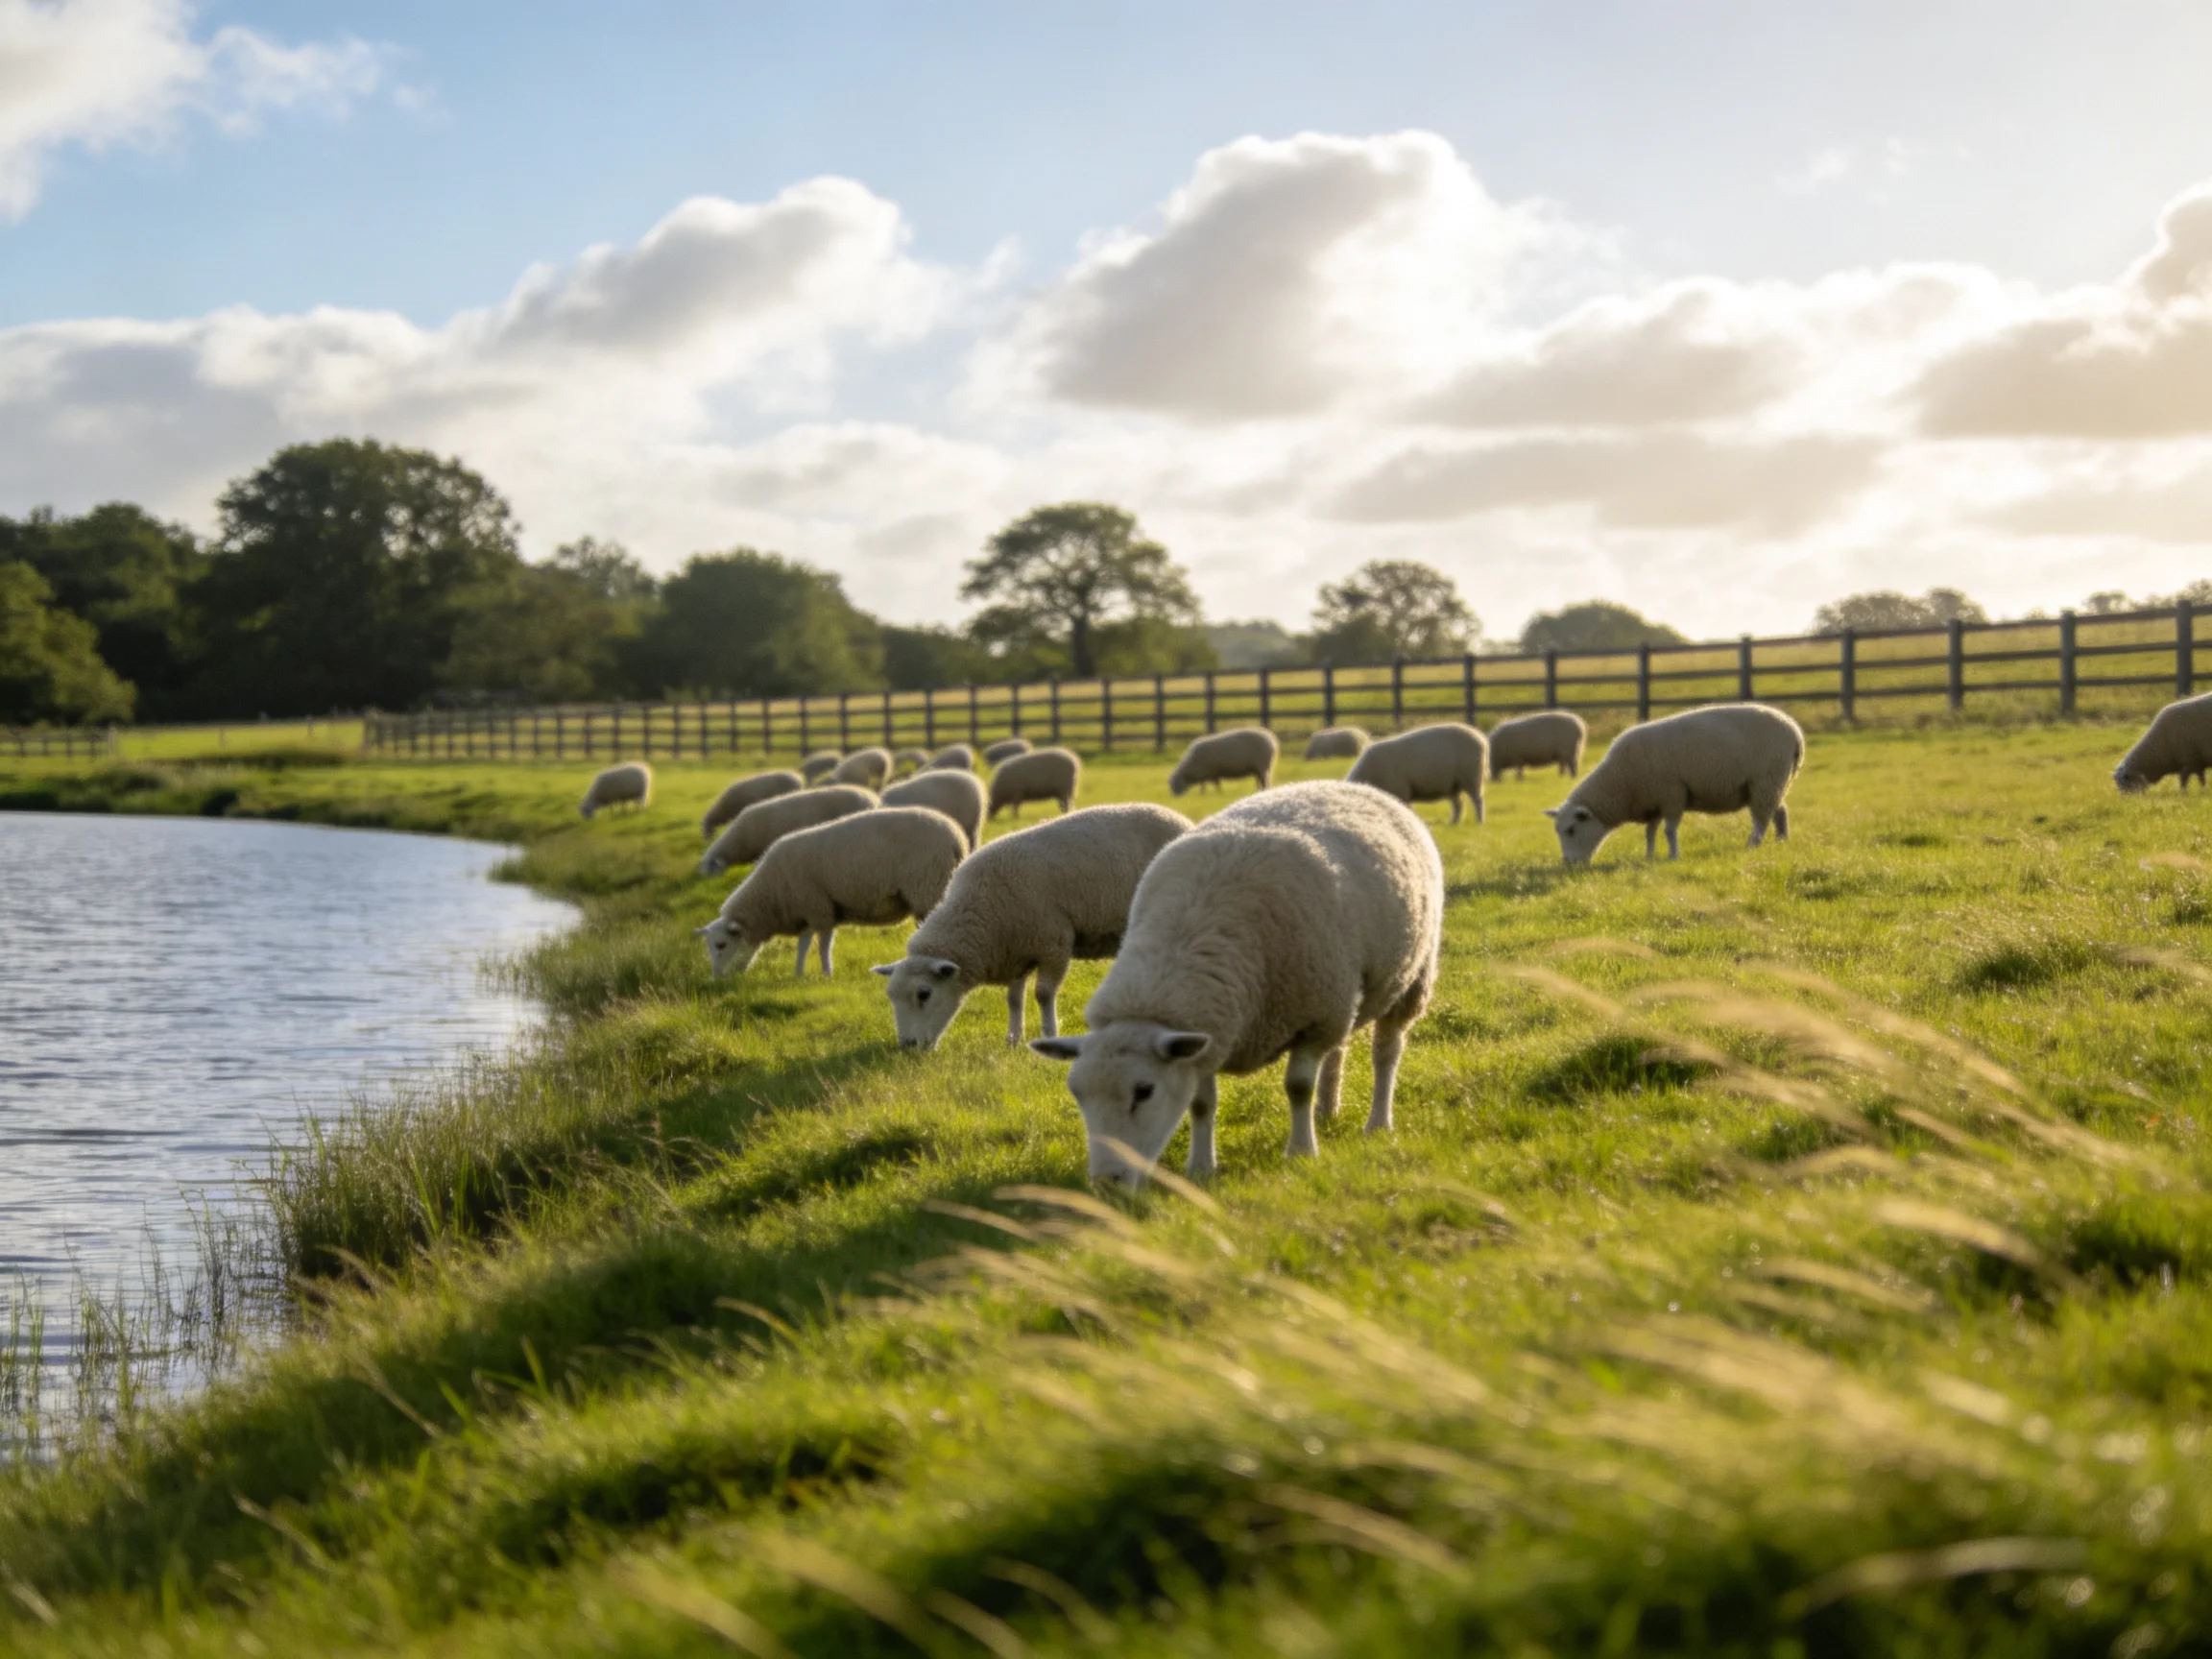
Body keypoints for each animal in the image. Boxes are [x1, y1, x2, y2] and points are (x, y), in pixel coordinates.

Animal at [697, 807, 966, 980]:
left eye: (721, 945)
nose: (717, 979)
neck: (770, 897)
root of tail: (956, 837)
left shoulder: (819, 908)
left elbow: (823, 945)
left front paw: (827, 973)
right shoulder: (806, 911)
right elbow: (804, 944)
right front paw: (798, 974)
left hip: (927, 887)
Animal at [875, 803, 1193, 1051]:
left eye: (923, 994)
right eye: (890, 996)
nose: (908, 1047)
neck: (984, 912)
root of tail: (1181, 819)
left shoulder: (1053, 943)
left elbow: (1043, 994)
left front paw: (1049, 1034)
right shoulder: (1017, 950)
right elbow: (1014, 999)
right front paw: (1013, 1039)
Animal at [1033, 781, 1442, 1187]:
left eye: (1144, 1091)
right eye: (1077, 1093)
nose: (1106, 1182)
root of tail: (1354, 785)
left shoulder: (1311, 1018)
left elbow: (1298, 1088)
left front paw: (1301, 1152)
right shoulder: (1208, 1034)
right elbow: (1201, 1105)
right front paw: (1200, 1167)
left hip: (1406, 979)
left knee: (1386, 1053)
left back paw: (1377, 1122)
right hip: (1344, 995)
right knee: (1338, 1050)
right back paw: (1326, 1110)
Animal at [1346, 724, 1489, 825]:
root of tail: (1482, 739)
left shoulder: (1401, 791)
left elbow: (1406, 809)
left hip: (1472, 776)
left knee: (1478, 800)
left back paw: (1479, 822)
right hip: (1454, 783)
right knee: (1459, 804)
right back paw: (1454, 822)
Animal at [1546, 702, 1803, 864]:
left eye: (1571, 829)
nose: (1568, 863)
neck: (1620, 783)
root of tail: (1794, 731)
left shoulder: (1672, 795)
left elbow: (1669, 831)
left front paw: (1673, 856)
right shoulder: (1653, 801)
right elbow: (1650, 832)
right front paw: (1649, 856)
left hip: (1766, 779)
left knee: (1761, 819)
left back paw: (1752, 844)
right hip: (1773, 783)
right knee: (1779, 812)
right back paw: (1781, 841)